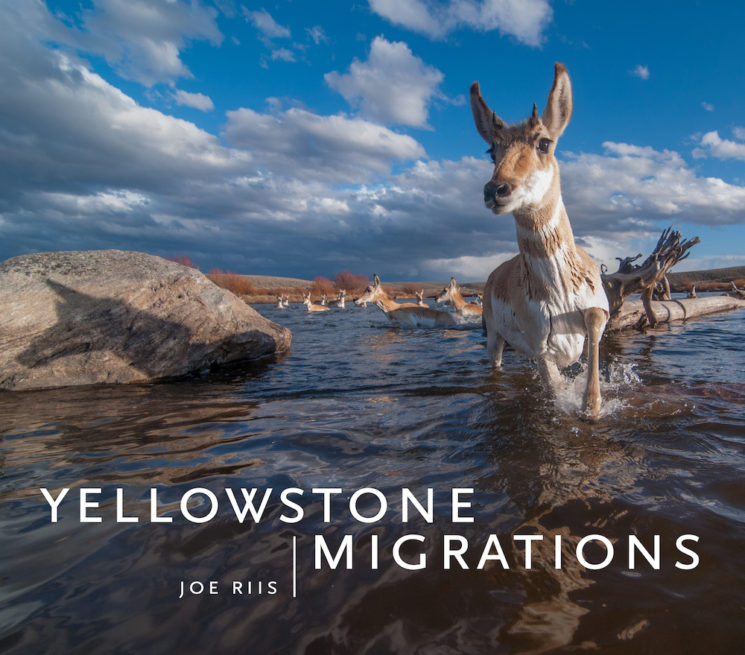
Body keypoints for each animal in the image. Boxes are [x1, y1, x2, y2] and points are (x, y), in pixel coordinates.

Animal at [474, 62, 608, 420]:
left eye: (544, 143)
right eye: (492, 150)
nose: (495, 190)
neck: (560, 293)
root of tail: (494, 274)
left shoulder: (598, 313)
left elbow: (594, 318)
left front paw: (591, 404)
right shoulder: (540, 349)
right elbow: (555, 386)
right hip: (495, 340)